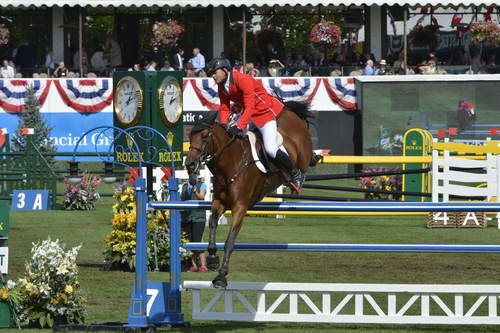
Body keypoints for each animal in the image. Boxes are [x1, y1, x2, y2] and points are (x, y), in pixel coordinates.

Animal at [186, 100, 314, 286]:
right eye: (190, 137)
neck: (231, 164)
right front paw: (212, 258)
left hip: (303, 154)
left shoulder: (240, 207)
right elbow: (212, 224)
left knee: (305, 163)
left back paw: (298, 180)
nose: (190, 164)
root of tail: (290, 112)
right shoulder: (219, 202)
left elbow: (230, 240)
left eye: (204, 136)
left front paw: (222, 275)